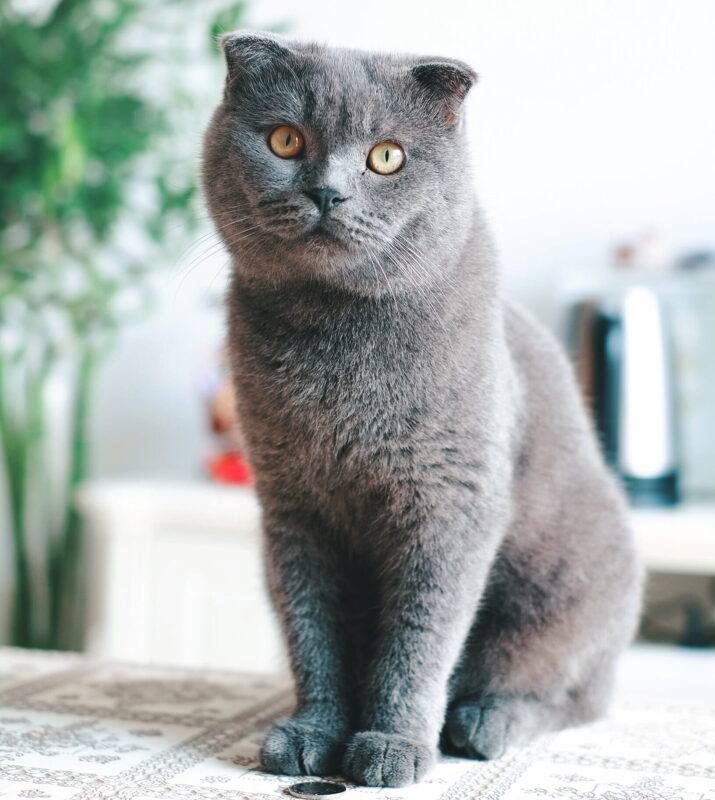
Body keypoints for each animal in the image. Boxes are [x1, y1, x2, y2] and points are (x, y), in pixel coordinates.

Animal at [201, 32, 644, 788]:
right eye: (285, 140)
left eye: (387, 156)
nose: (327, 191)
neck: (334, 341)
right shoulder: (293, 509)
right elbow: (313, 632)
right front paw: (311, 734)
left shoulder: (448, 501)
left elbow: (419, 638)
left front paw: (392, 746)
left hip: (567, 592)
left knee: (571, 696)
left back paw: (483, 724)